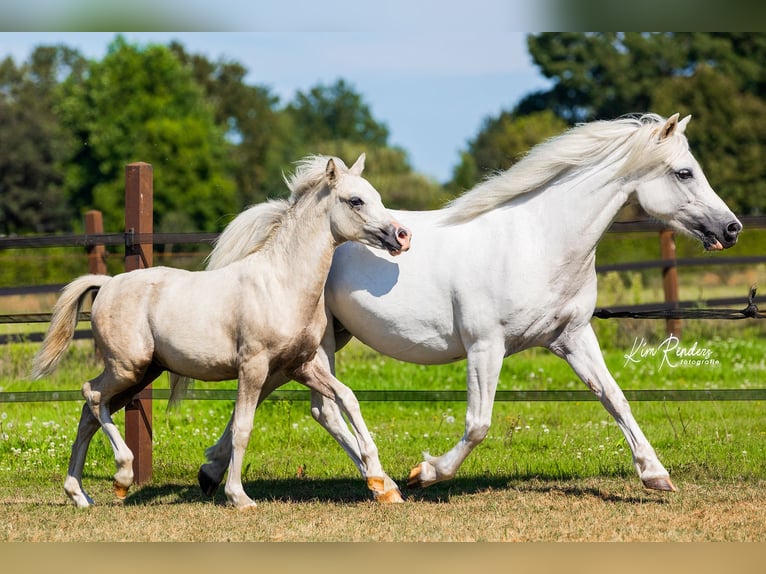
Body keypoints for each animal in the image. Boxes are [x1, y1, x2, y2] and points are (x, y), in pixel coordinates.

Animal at [31, 155, 414, 510]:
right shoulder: (253, 366)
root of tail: (108, 283)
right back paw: (122, 475)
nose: (402, 235)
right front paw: (238, 496)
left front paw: (380, 481)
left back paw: (80, 495)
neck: (282, 283)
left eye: (376, 196)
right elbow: (243, 428)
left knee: (89, 412)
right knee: (92, 396)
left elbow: (347, 398)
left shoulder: (302, 365)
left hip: (143, 372)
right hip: (128, 367)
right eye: (355, 200)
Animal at [189, 113, 740, 500]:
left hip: (310, 344)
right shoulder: (485, 346)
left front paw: (656, 475)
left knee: (272, 398)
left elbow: (615, 398)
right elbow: (479, 424)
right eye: (684, 172)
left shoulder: (571, 337)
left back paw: (213, 472)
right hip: (317, 344)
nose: (732, 228)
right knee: (322, 407)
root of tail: (285, 222)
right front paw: (426, 472)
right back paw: (381, 480)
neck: (538, 241)